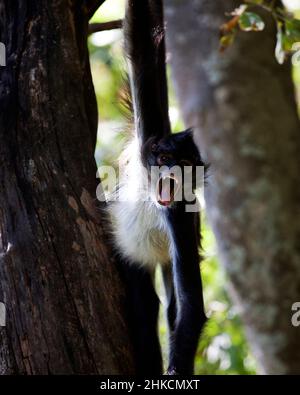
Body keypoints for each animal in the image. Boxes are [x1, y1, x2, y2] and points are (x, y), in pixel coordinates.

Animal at [109, 0, 207, 376]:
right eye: (164, 157)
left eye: (185, 164)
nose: (169, 171)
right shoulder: (147, 140)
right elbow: (142, 50)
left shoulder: (178, 215)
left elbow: (190, 306)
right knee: (146, 303)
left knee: (161, 306)